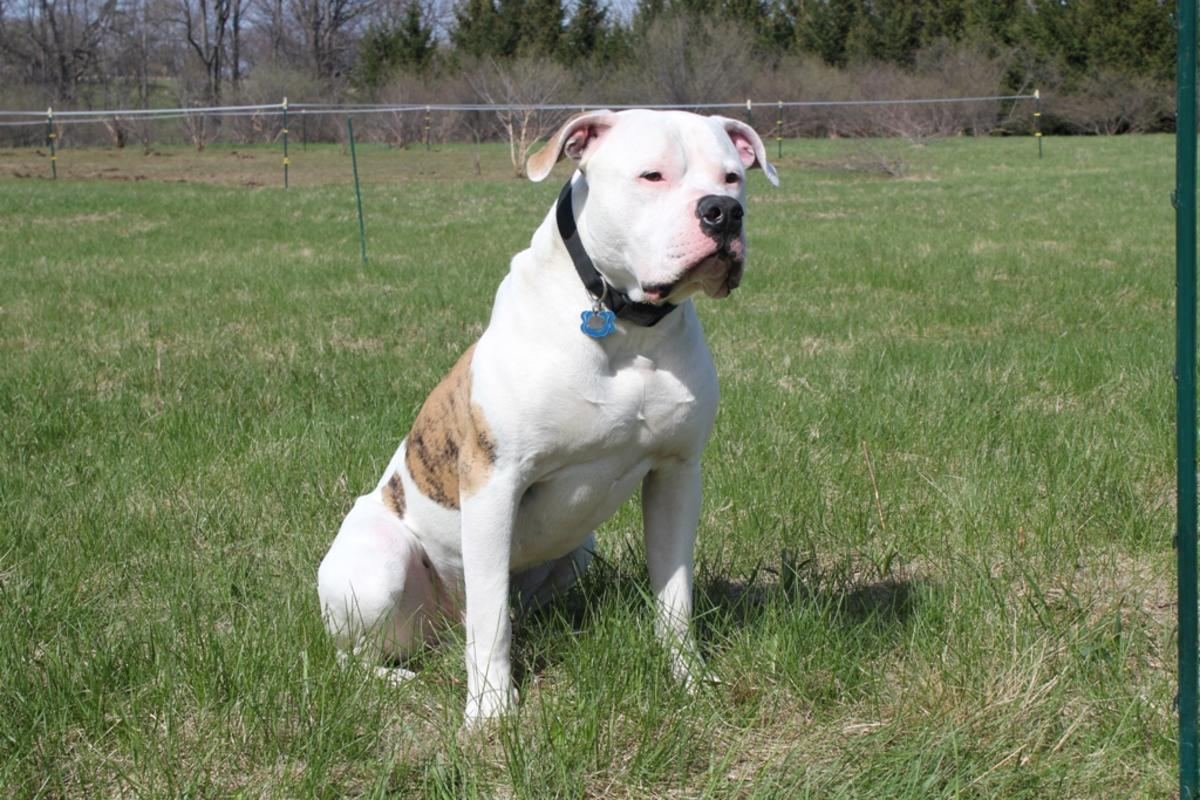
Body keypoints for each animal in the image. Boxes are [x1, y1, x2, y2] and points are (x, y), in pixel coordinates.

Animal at [317, 109, 778, 726]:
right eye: (651, 175)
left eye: (732, 176)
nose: (724, 212)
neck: (625, 323)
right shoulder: (493, 483)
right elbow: (490, 617)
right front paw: (490, 712)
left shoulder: (677, 475)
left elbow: (675, 598)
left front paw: (691, 683)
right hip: (380, 562)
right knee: (358, 658)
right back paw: (398, 679)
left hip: (579, 548)